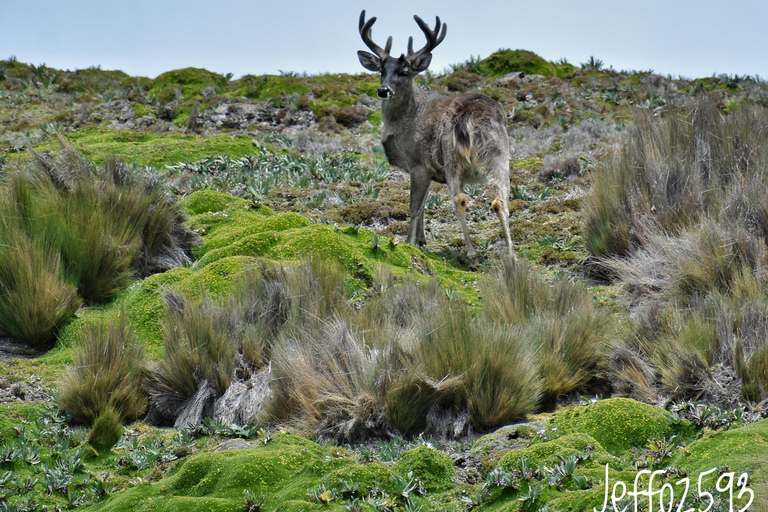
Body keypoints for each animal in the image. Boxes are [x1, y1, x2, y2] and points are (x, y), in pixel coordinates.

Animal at [356, 10, 512, 266]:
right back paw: (513, 257)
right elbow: (424, 205)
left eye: (404, 72)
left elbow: (414, 207)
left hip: (451, 156)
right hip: (498, 154)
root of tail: (467, 115)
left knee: (460, 199)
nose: (383, 90)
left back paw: (472, 257)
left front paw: (409, 243)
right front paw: (422, 241)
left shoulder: (419, 163)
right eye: (381, 70)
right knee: (501, 200)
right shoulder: (429, 170)